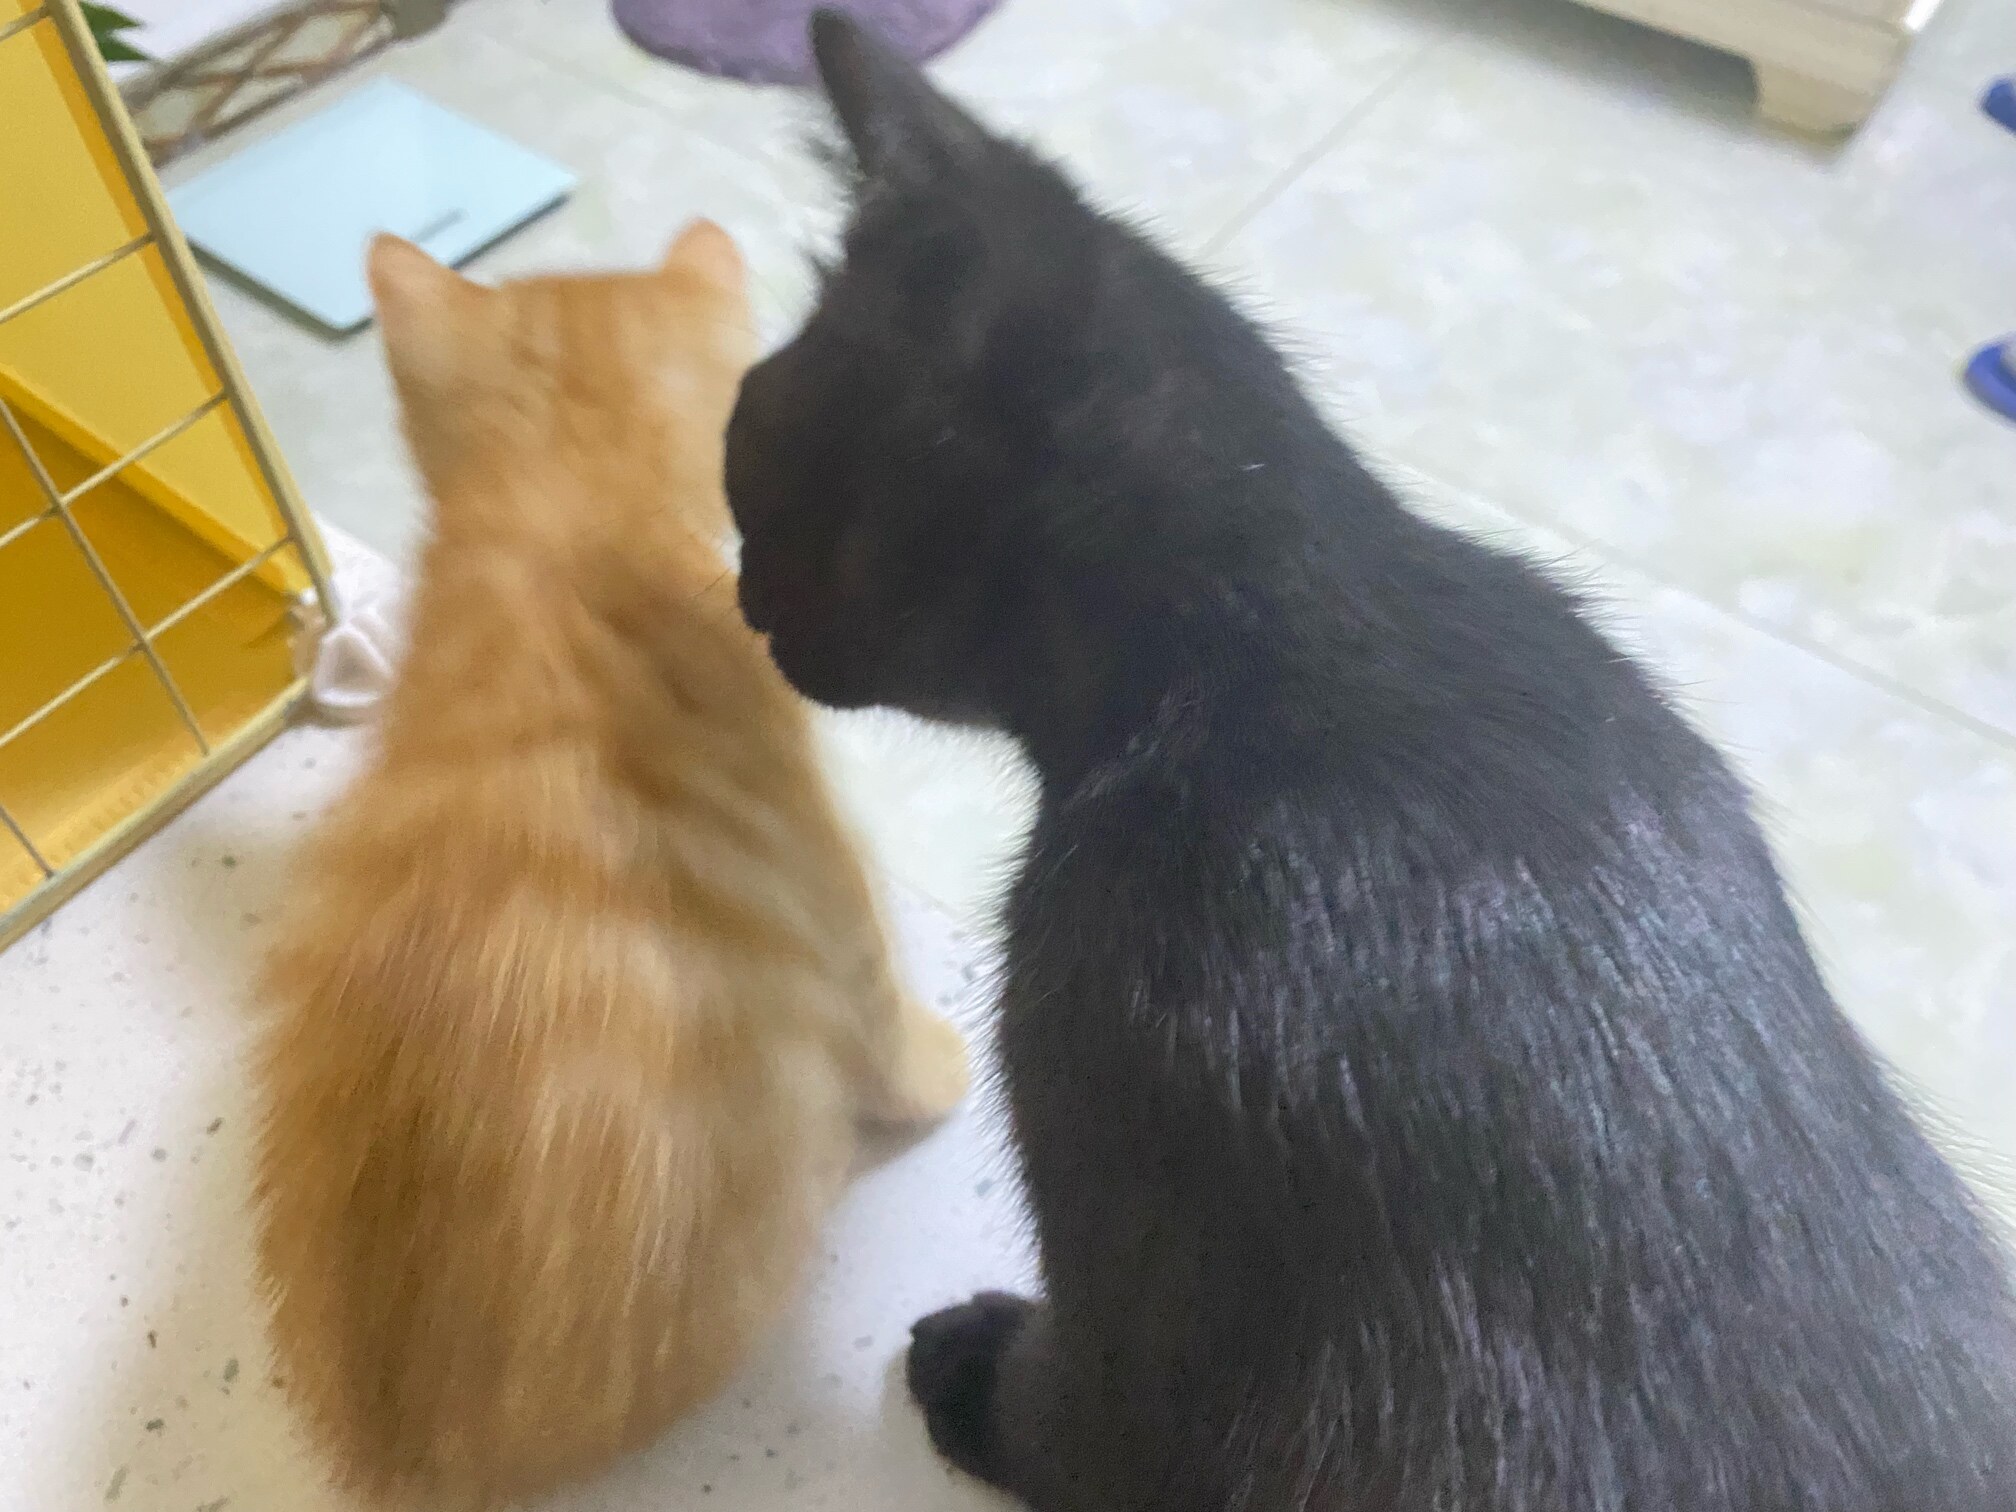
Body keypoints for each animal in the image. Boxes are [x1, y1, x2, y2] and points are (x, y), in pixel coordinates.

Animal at [723, 15, 2016, 1512]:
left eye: (748, 455)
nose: (741, 600)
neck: (1291, 644)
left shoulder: (1118, 1174)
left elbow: (1081, 1415)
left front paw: (981, 1373)